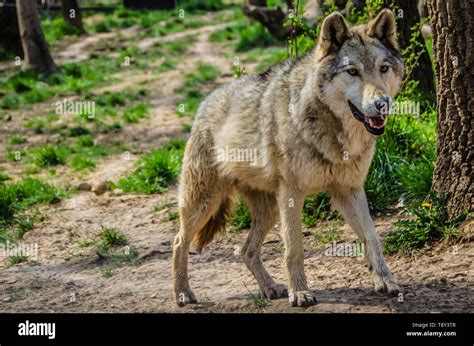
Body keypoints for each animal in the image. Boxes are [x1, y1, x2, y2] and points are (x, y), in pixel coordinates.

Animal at [173, 8, 404, 306]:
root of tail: (204, 103)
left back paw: (270, 288)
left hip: (270, 208)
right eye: (353, 72)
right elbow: (295, 249)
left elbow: (372, 238)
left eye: (383, 68)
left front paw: (385, 281)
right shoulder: (292, 194)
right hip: (205, 204)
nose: (382, 104)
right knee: (179, 241)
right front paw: (301, 292)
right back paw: (183, 293)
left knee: (246, 250)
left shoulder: (349, 190)